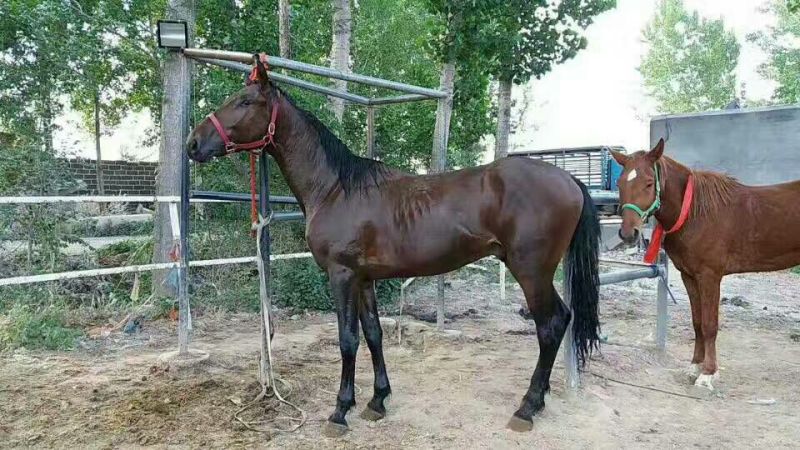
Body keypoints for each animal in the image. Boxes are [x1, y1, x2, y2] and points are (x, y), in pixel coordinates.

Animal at [186, 57, 602, 436]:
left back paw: (527, 408)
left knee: (551, 325)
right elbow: (373, 334)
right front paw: (376, 401)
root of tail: (569, 180)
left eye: (244, 101)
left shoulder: (341, 275)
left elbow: (347, 339)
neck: (336, 189)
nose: (193, 143)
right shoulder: (364, 278)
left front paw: (340, 411)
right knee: (560, 321)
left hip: (531, 271)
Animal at [611, 139, 800, 390]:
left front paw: (708, 373)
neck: (695, 213)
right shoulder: (689, 276)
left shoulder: (710, 276)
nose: (628, 234)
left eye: (649, 183)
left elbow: (710, 325)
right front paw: (694, 366)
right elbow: (697, 322)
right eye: (619, 183)